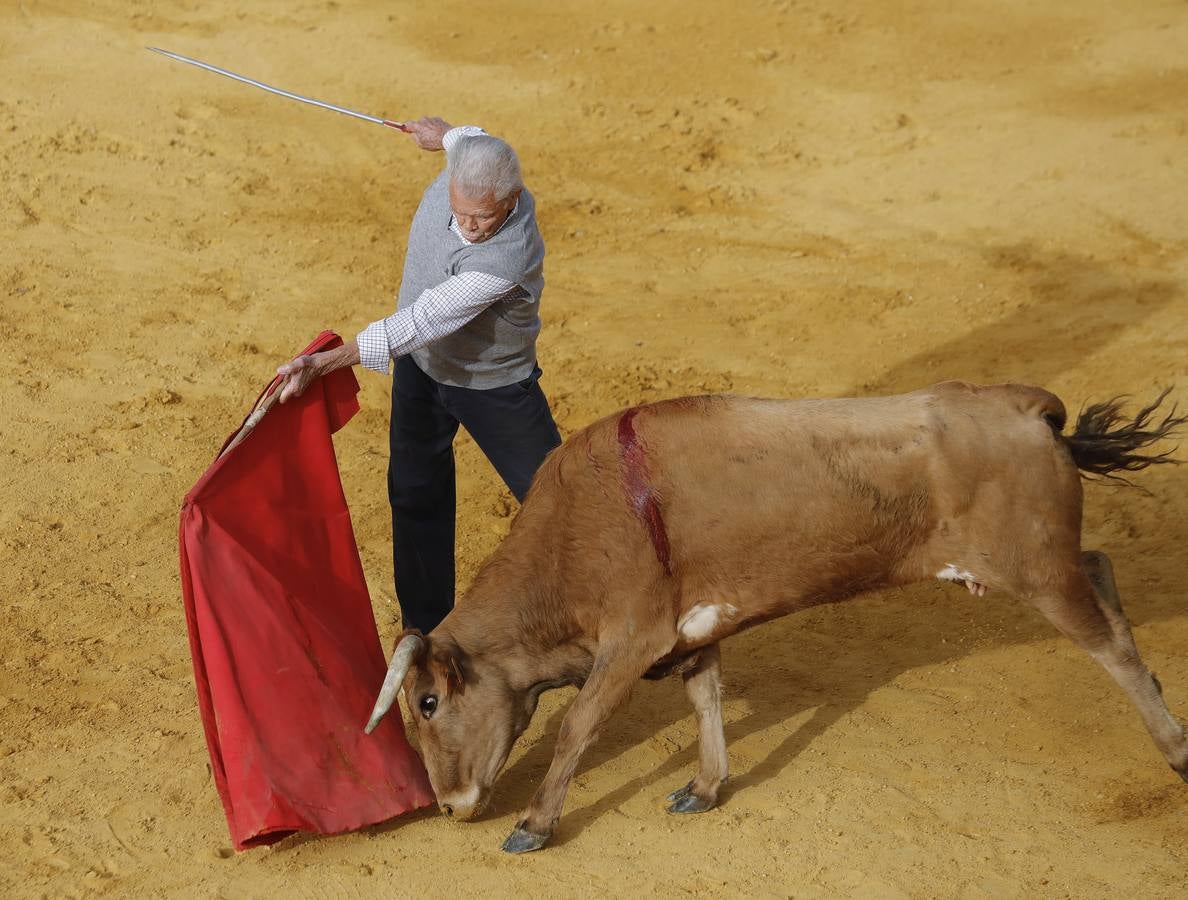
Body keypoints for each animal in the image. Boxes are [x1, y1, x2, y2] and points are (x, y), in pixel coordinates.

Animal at [363, 379, 1188, 854]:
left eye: (427, 702)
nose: (450, 805)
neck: (575, 531)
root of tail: (1027, 406)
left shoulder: (631, 640)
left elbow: (578, 725)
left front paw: (534, 825)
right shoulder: (693, 631)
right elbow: (706, 700)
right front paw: (705, 786)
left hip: (1036, 571)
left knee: (1110, 644)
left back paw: (1176, 748)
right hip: (1044, 563)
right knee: (1101, 570)